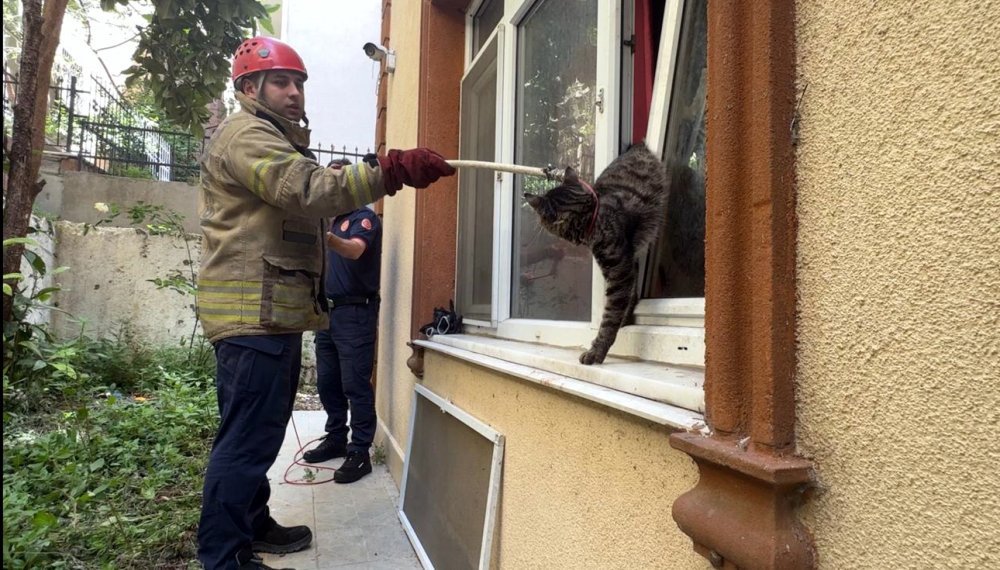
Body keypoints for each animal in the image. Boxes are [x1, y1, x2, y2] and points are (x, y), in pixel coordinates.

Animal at [524, 143, 672, 364]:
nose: (537, 222)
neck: (592, 217)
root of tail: (638, 146)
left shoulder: (619, 273)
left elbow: (610, 317)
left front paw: (597, 351)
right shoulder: (627, 264)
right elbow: (629, 296)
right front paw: (625, 317)